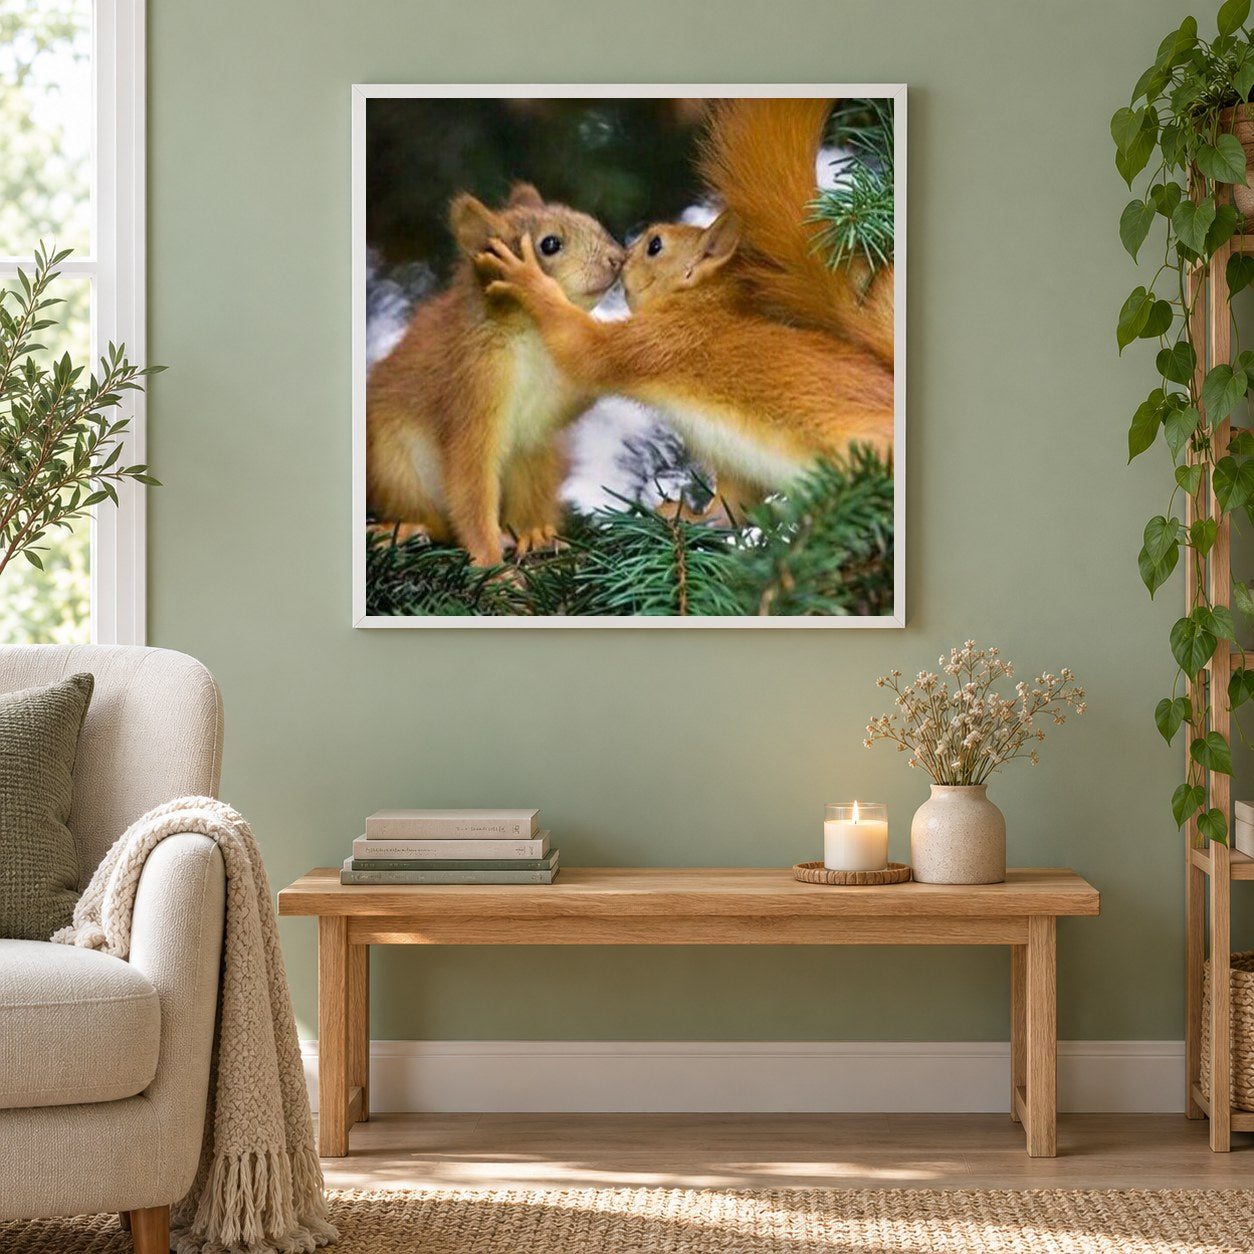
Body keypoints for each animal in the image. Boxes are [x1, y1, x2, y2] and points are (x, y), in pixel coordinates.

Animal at [366, 182, 624, 566]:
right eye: (550, 244)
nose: (618, 258)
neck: (531, 335)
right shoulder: (473, 387)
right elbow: (471, 486)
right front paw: (493, 567)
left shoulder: (551, 401)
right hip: (394, 466)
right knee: (437, 523)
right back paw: (403, 531)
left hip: (540, 456)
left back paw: (536, 533)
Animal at [475, 99, 895, 518]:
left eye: (655, 246)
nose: (621, 256)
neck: (698, 305)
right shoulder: (734, 469)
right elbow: (729, 508)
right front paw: (686, 516)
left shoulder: (659, 340)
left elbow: (584, 348)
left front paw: (527, 278)